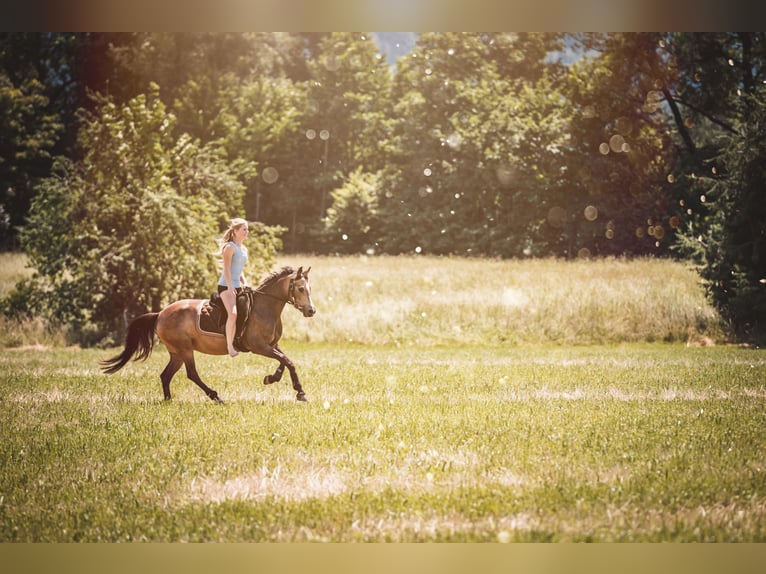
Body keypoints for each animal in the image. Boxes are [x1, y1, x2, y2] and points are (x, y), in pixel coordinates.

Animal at [100, 268, 316, 402]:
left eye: (310, 288)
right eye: (300, 288)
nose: (311, 311)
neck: (265, 307)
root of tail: (160, 314)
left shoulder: (272, 344)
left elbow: (285, 361)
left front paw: (272, 378)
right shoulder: (259, 347)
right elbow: (288, 361)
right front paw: (300, 392)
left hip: (176, 353)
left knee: (166, 375)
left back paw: (168, 400)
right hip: (185, 350)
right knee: (191, 374)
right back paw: (215, 396)